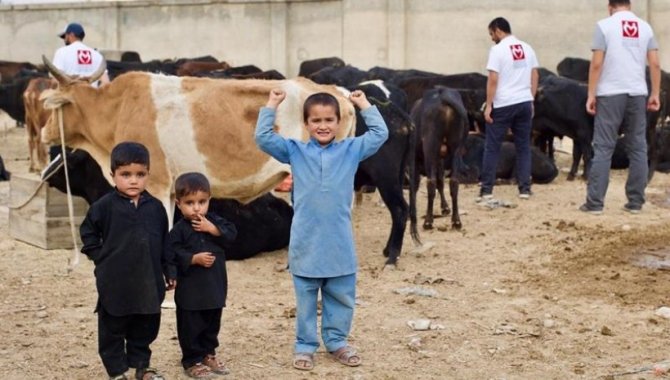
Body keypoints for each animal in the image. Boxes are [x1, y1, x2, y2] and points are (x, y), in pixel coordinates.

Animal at [412, 87, 470, 230]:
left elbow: (416, 184)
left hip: (430, 147)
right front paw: (445, 207)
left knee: (431, 182)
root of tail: (442, 93)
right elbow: (441, 181)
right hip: (455, 149)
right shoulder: (440, 160)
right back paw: (456, 220)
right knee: (453, 182)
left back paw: (428, 221)